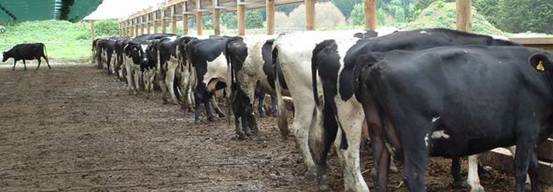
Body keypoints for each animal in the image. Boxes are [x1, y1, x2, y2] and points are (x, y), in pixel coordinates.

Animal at [310, 27, 520, 191]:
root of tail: (329, 44)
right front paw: (474, 182)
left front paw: (460, 177)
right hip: (351, 111)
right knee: (347, 150)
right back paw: (360, 187)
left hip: (332, 106)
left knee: (329, 136)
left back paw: (331, 181)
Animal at [354, 45, 552, 192]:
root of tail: (381, 57)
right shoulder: (526, 131)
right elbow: (521, 169)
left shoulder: (534, 135)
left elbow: (535, 167)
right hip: (415, 135)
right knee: (414, 176)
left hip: (377, 130)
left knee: (380, 171)